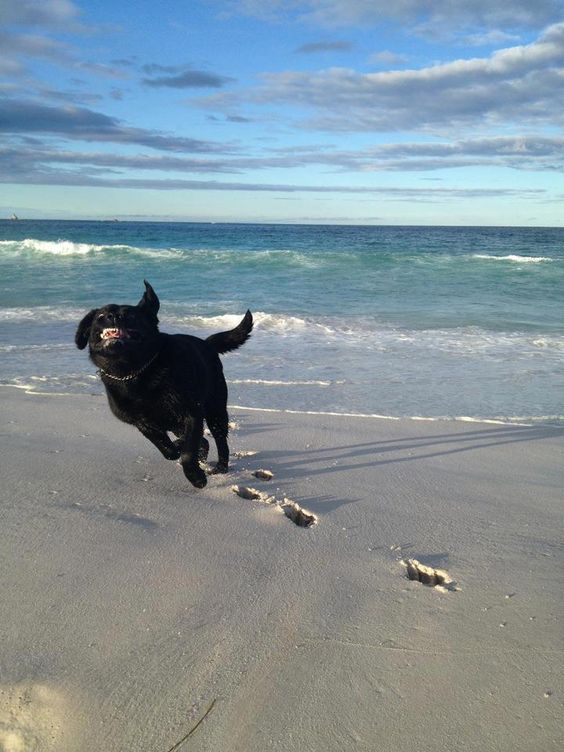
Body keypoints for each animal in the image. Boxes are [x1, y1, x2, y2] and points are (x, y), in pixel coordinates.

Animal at [75, 280, 253, 488]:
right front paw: (176, 450)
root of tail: (207, 343)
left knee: (219, 440)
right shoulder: (142, 423)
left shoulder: (191, 414)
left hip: (215, 411)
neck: (135, 373)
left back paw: (220, 467)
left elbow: (187, 451)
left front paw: (195, 476)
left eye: (131, 315)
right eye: (101, 316)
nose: (114, 317)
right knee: (202, 441)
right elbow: (165, 447)